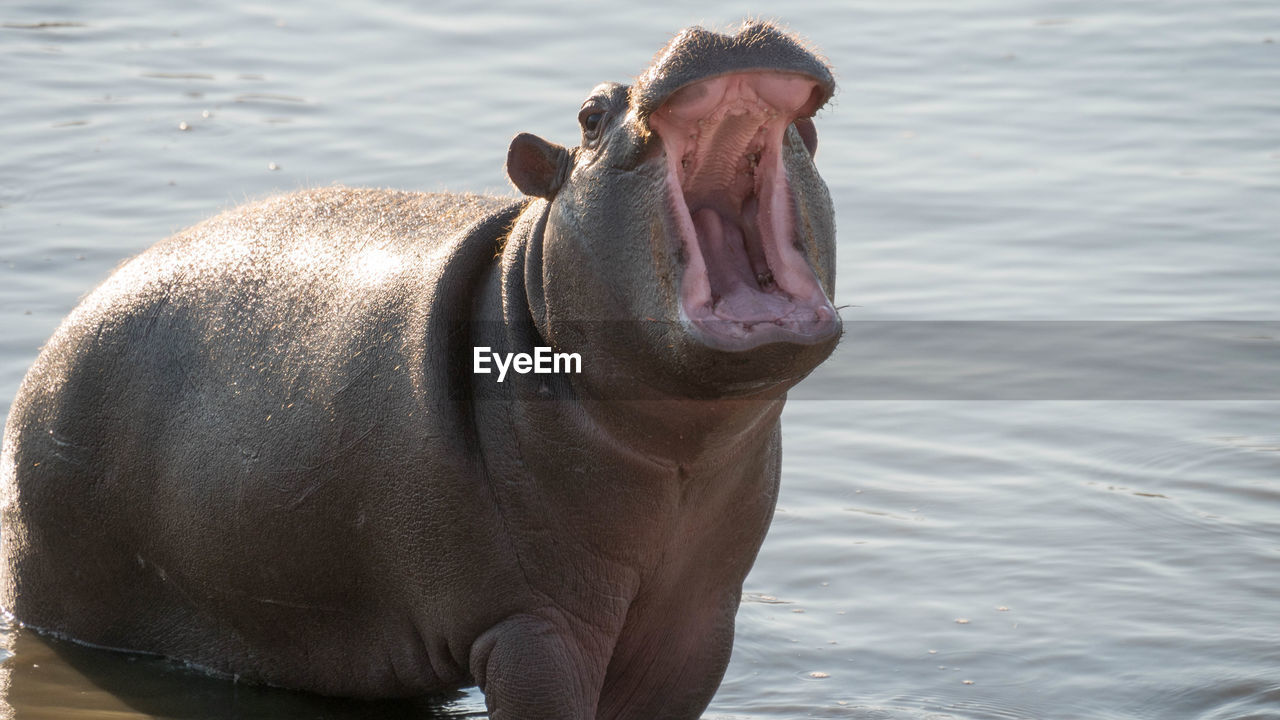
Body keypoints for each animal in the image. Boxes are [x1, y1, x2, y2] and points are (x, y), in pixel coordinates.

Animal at [0, 19, 844, 712]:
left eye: (808, 137)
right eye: (590, 115)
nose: (726, 30)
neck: (679, 452)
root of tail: (47, 357)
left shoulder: (695, 625)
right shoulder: (534, 623)